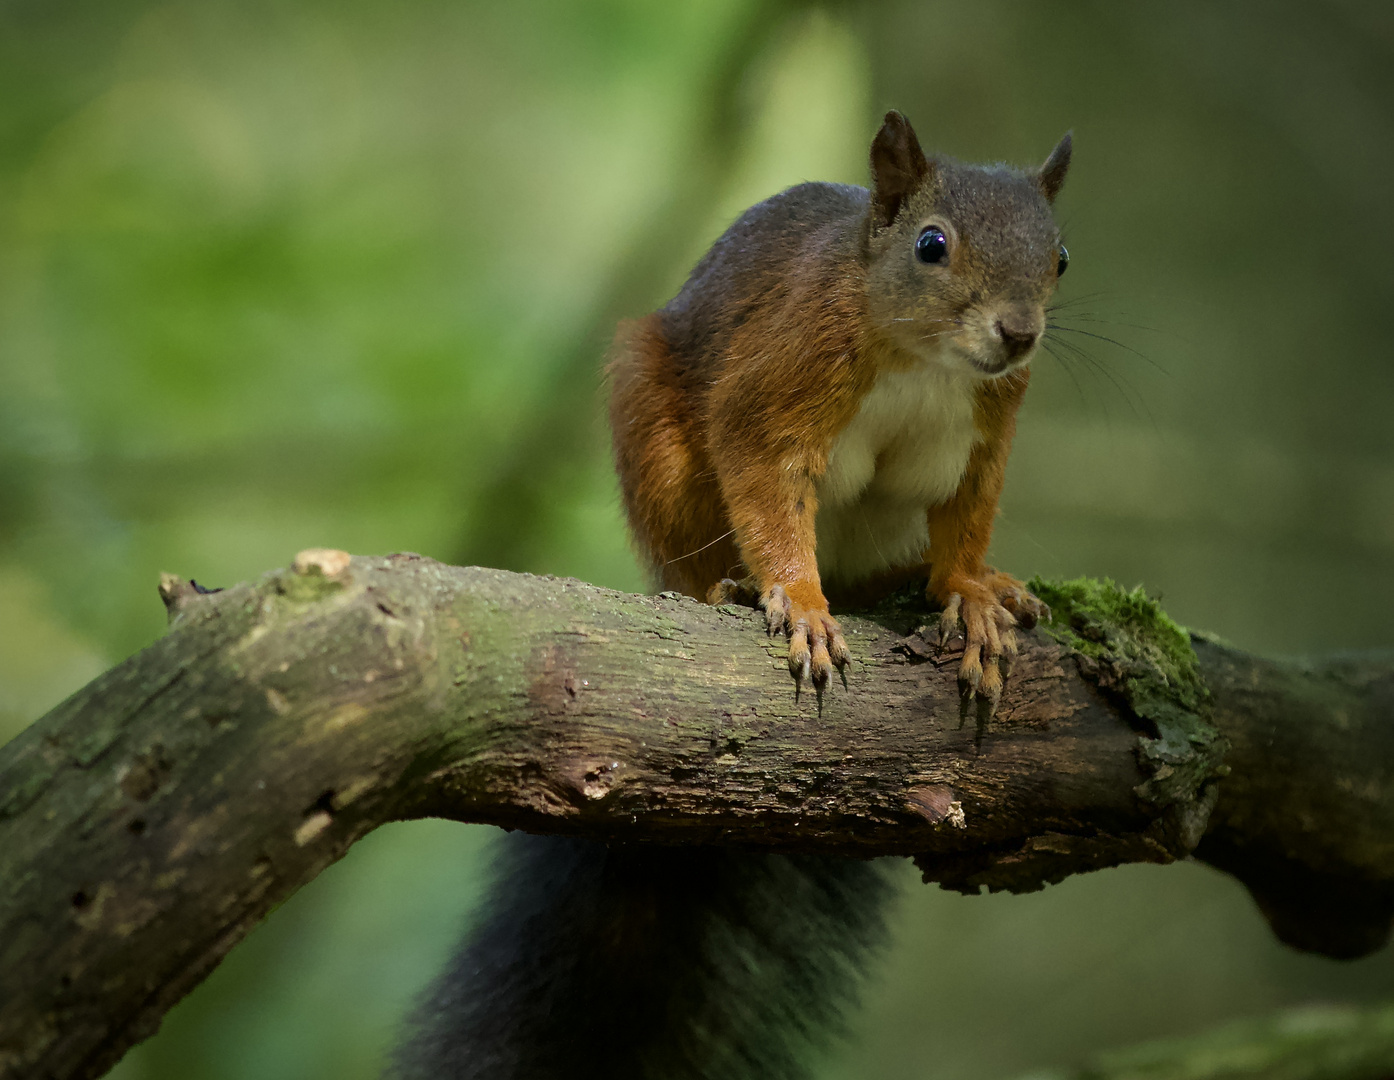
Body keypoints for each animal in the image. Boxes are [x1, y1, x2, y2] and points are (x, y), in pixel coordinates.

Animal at [607, 108, 1065, 702]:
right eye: (931, 244)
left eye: (1061, 258)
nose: (1019, 334)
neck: (924, 363)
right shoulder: (786, 369)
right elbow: (762, 472)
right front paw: (802, 601)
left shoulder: (987, 429)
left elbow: (969, 507)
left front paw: (970, 592)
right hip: (658, 449)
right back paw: (728, 588)